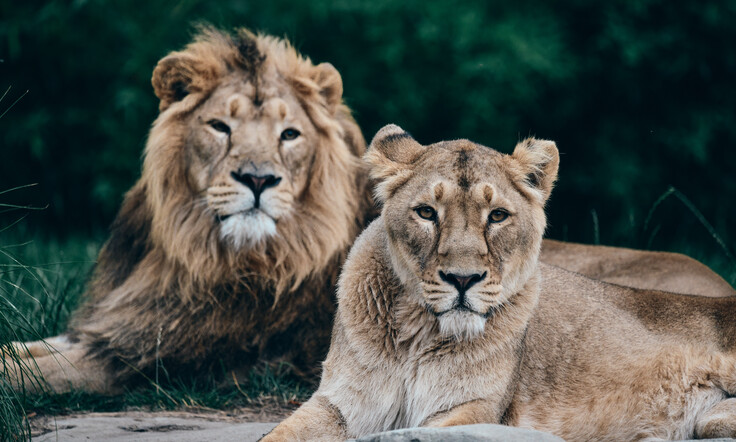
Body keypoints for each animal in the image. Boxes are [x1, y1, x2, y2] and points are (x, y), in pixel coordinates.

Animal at [4, 27, 372, 394]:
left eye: (290, 134)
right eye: (220, 126)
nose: (258, 178)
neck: (196, 256)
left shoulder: (145, 359)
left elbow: (29, 371)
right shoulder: (116, 325)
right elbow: (28, 347)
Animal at [263, 125, 736, 441]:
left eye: (497, 216)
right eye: (426, 212)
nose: (463, 279)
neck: (416, 335)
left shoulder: (474, 410)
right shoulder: (340, 402)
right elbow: (277, 435)